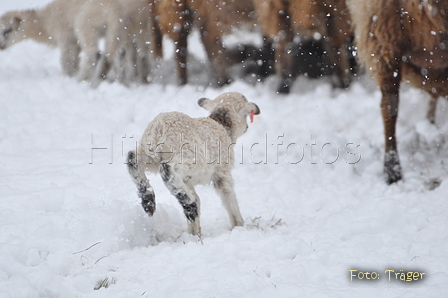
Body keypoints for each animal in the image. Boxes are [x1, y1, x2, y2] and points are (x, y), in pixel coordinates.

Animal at [126, 91, 260, 237]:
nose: (246, 127)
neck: (221, 124)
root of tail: (159, 128)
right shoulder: (222, 171)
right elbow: (228, 196)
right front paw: (238, 225)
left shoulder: (187, 180)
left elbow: (197, 197)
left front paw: (193, 233)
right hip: (190, 158)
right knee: (167, 170)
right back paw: (190, 207)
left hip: (149, 154)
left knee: (132, 159)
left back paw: (148, 201)